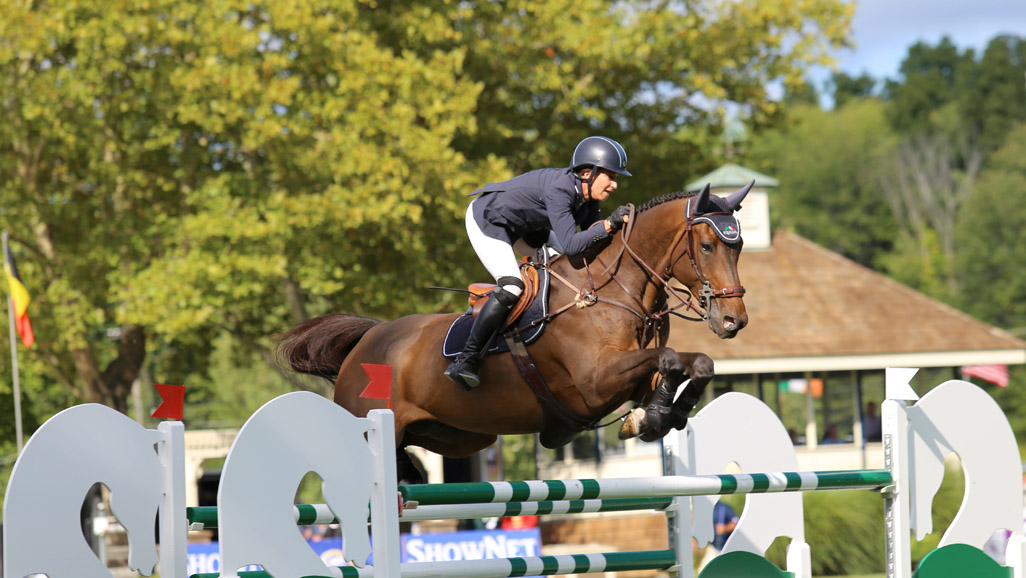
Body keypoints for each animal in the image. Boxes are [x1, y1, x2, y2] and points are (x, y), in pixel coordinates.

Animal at [281, 181, 755, 484]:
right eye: (707, 246)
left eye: (739, 248)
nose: (734, 322)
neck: (613, 291)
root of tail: (367, 340)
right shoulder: (594, 381)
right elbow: (670, 358)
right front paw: (654, 417)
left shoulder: (635, 378)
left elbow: (695, 364)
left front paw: (660, 416)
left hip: (458, 435)